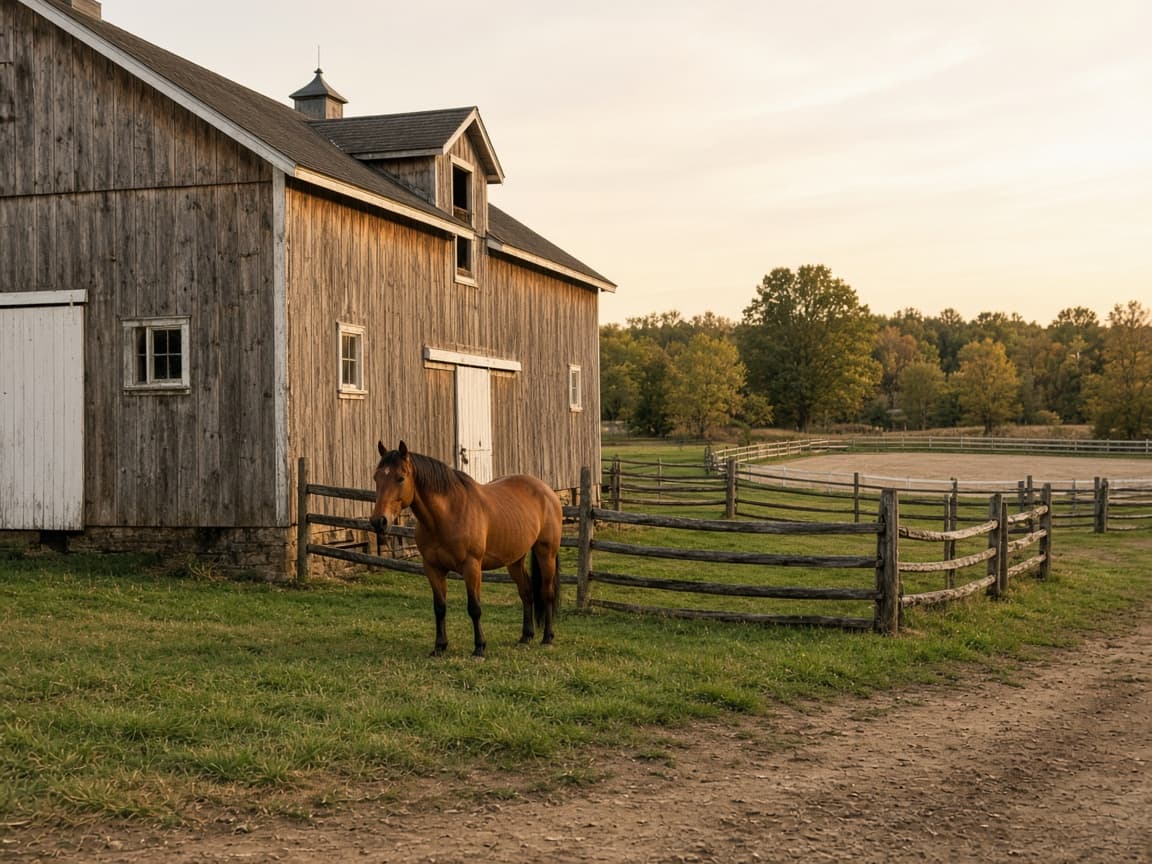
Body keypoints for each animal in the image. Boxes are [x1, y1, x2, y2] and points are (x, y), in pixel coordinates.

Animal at [370, 441, 562, 658]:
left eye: (400, 478)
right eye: (376, 477)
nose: (379, 521)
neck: (448, 515)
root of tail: (547, 491)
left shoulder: (471, 567)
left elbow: (474, 607)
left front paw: (479, 648)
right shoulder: (433, 568)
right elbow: (439, 607)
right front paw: (439, 647)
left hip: (546, 553)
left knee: (547, 593)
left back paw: (547, 638)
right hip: (514, 559)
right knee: (526, 592)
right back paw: (525, 637)